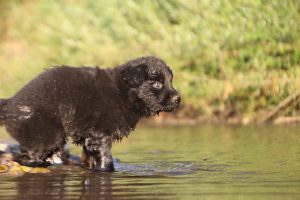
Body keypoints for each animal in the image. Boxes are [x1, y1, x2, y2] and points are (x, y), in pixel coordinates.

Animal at [0, 56, 179, 172]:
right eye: (156, 84)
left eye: (170, 81)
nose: (178, 98)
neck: (122, 93)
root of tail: (10, 104)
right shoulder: (100, 134)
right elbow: (105, 159)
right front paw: (107, 170)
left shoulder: (90, 138)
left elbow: (89, 158)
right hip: (44, 134)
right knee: (24, 157)